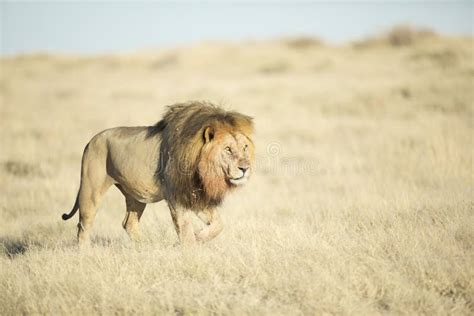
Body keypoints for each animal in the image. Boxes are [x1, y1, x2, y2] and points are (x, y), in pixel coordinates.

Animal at [63, 101, 256, 247]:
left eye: (244, 147)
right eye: (228, 149)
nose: (245, 168)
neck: (201, 167)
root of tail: (90, 140)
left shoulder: (194, 194)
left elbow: (218, 224)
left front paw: (200, 236)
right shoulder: (177, 196)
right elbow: (185, 229)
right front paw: (191, 249)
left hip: (136, 196)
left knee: (129, 223)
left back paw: (144, 248)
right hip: (90, 189)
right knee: (83, 226)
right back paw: (85, 253)